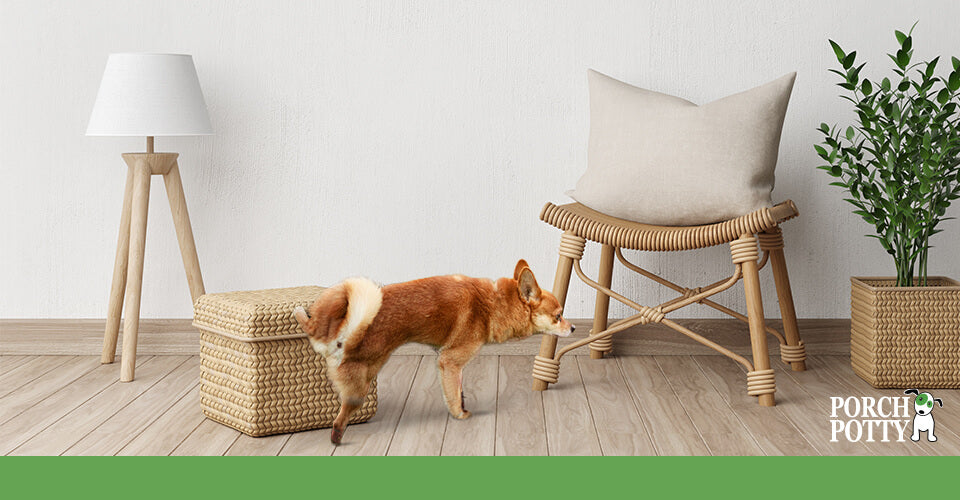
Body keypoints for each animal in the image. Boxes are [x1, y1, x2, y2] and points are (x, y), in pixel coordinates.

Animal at [292, 260, 572, 444]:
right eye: (558, 316)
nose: (573, 327)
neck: (493, 303)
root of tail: (341, 341)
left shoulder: (451, 365)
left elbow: (458, 390)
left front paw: (462, 403)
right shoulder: (450, 361)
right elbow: (453, 394)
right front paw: (460, 415)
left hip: (335, 299)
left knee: (313, 325)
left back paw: (300, 312)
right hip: (361, 385)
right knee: (341, 417)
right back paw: (336, 437)